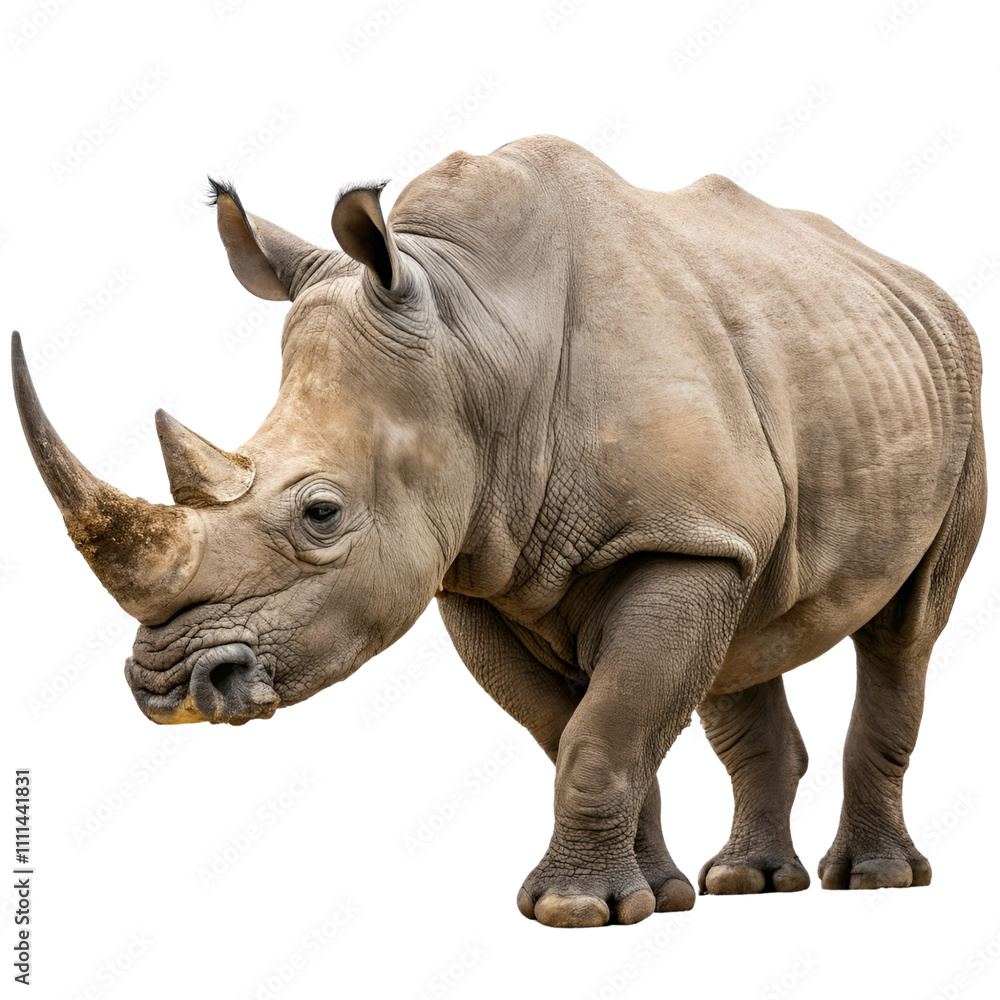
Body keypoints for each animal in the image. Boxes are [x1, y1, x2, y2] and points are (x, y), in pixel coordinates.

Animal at [13, 135, 985, 928]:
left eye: (322, 514)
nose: (168, 688)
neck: (476, 344)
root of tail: (918, 286)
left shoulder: (672, 535)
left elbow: (603, 731)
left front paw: (573, 911)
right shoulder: (483, 564)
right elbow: (575, 731)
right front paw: (648, 897)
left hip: (958, 392)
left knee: (905, 632)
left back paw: (875, 881)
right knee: (746, 627)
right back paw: (743, 884)